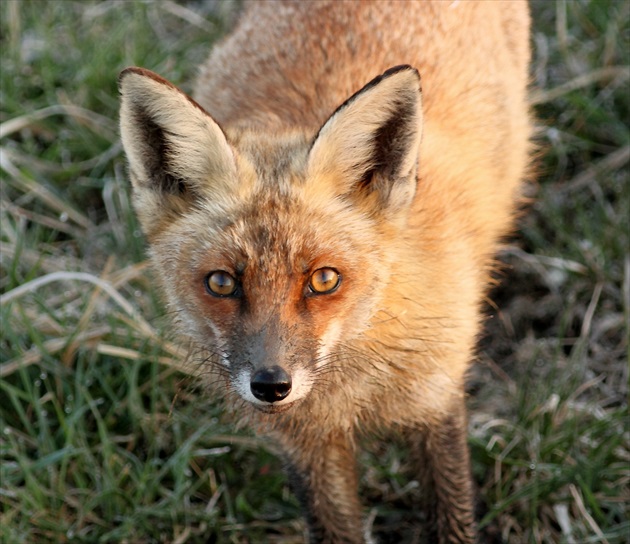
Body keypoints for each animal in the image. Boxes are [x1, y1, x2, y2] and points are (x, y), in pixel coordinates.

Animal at [117, 0, 532, 540]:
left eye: (324, 279)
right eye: (222, 282)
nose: (272, 386)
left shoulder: (436, 397)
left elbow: (452, 512)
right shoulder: (305, 446)